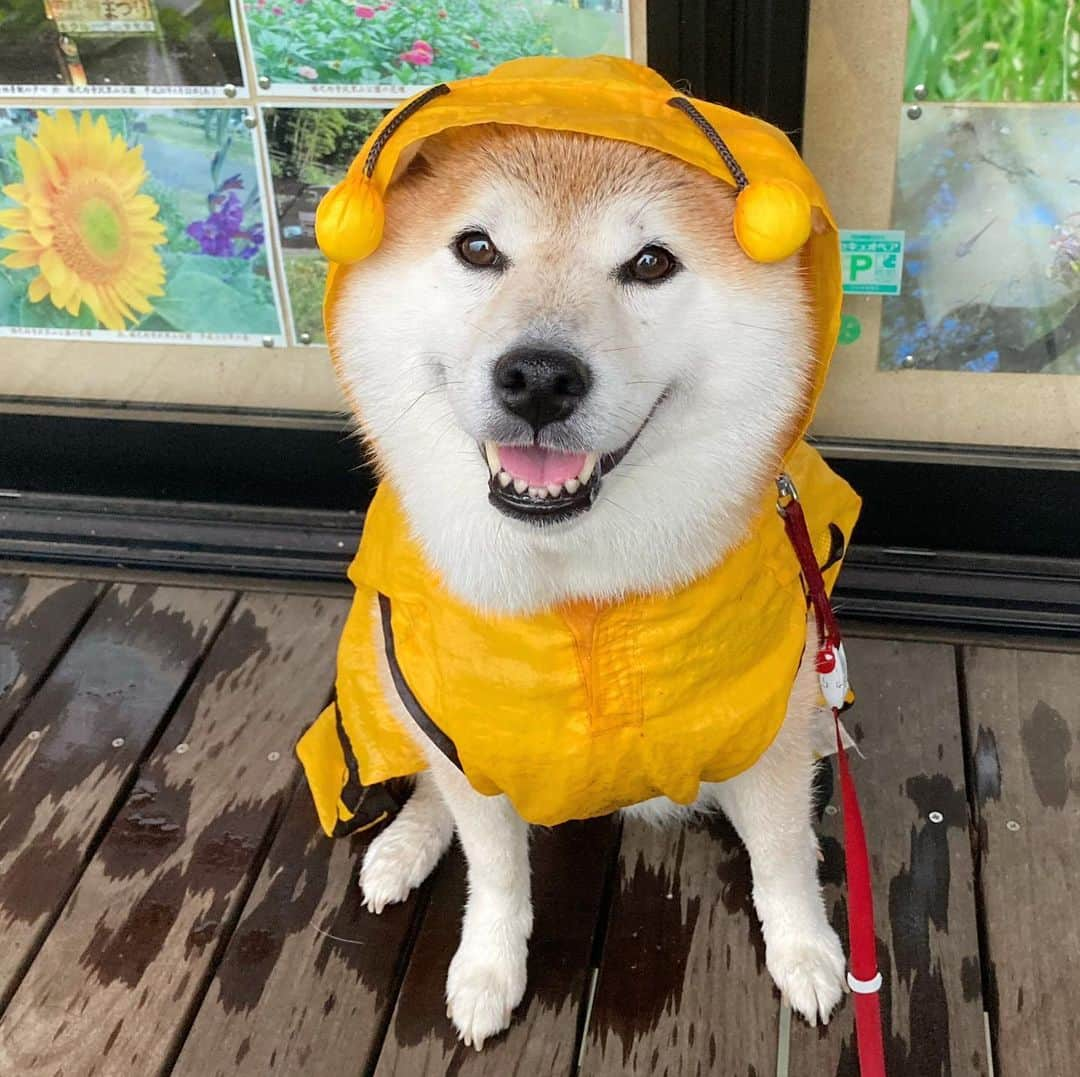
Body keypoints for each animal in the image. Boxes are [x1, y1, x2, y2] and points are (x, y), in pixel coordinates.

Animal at [302, 58, 859, 1049]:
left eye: (651, 263)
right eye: (477, 247)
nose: (538, 377)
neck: (583, 598)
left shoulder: (769, 730)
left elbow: (785, 856)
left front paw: (806, 951)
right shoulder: (469, 735)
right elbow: (494, 870)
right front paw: (487, 968)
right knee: (427, 781)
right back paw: (403, 846)